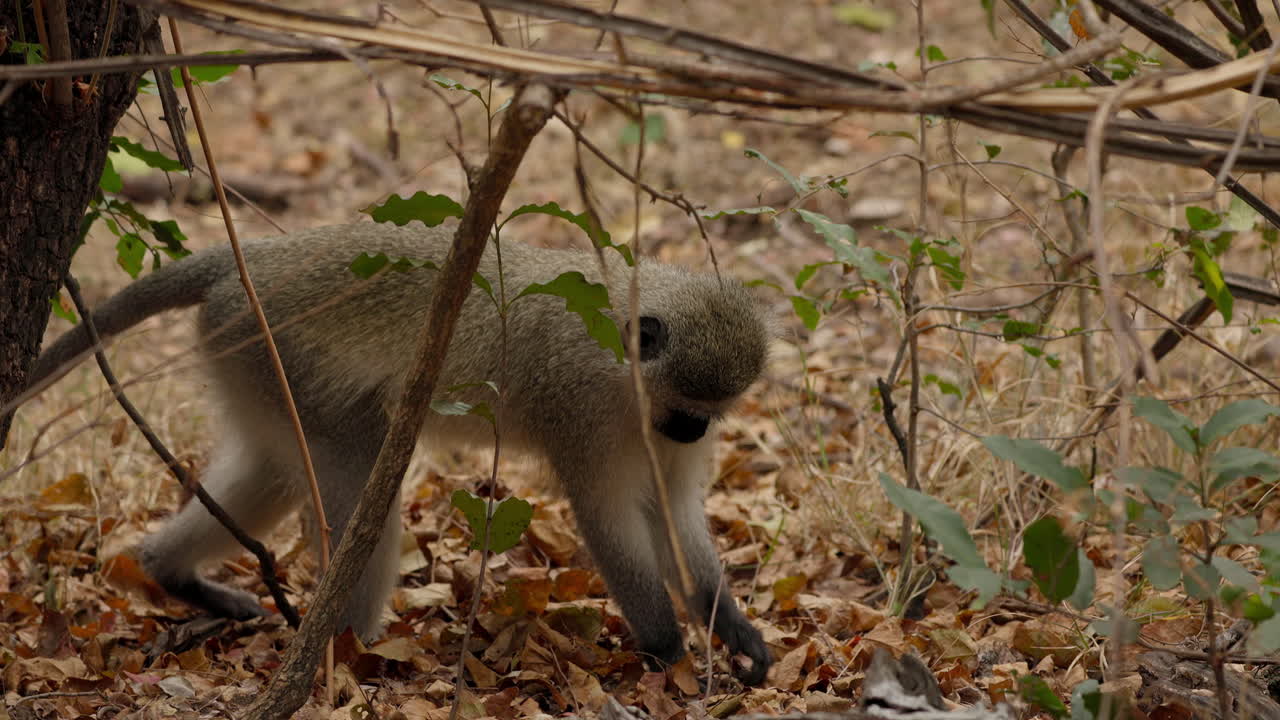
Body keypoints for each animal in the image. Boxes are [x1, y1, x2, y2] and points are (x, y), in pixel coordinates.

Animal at [27, 221, 773, 684]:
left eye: (712, 411)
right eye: (686, 403)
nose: (692, 432)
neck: (624, 366)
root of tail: (250, 260)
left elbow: (672, 513)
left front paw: (731, 627)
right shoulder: (581, 407)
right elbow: (608, 517)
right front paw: (667, 646)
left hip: (249, 360)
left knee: (272, 471)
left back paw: (169, 570)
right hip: (278, 353)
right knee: (360, 487)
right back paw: (345, 653)